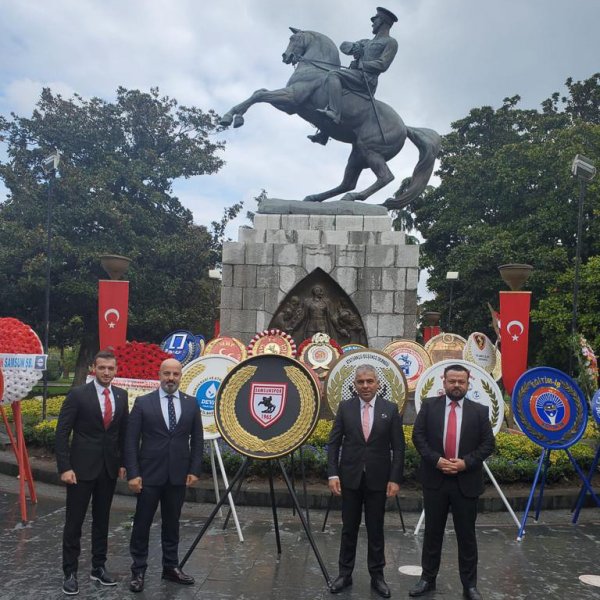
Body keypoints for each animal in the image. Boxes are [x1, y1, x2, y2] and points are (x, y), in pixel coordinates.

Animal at [218, 29, 438, 209]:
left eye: (293, 38)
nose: (286, 56)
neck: (315, 69)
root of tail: (405, 127)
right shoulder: (288, 104)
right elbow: (259, 92)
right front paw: (235, 116)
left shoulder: (291, 99)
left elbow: (259, 95)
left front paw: (230, 117)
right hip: (357, 154)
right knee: (348, 182)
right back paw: (315, 197)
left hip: (370, 150)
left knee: (385, 177)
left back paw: (353, 197)